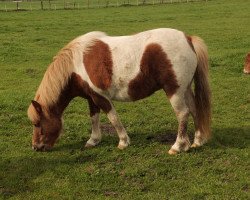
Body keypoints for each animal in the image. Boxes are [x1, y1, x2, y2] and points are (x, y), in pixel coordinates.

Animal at [27, 28, 211, 155]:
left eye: (38, 124)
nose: (36, 147)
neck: (76, 64)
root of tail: (188, 39)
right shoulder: (91, 97)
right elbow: (94, 118)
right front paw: (93, 140)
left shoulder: (100, 96)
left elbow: (113, 118)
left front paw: (123, 142)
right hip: (185, 89)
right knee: (194, 110)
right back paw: (197, 141)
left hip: (174, 91)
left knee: (183, 114)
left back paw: (177, 146)